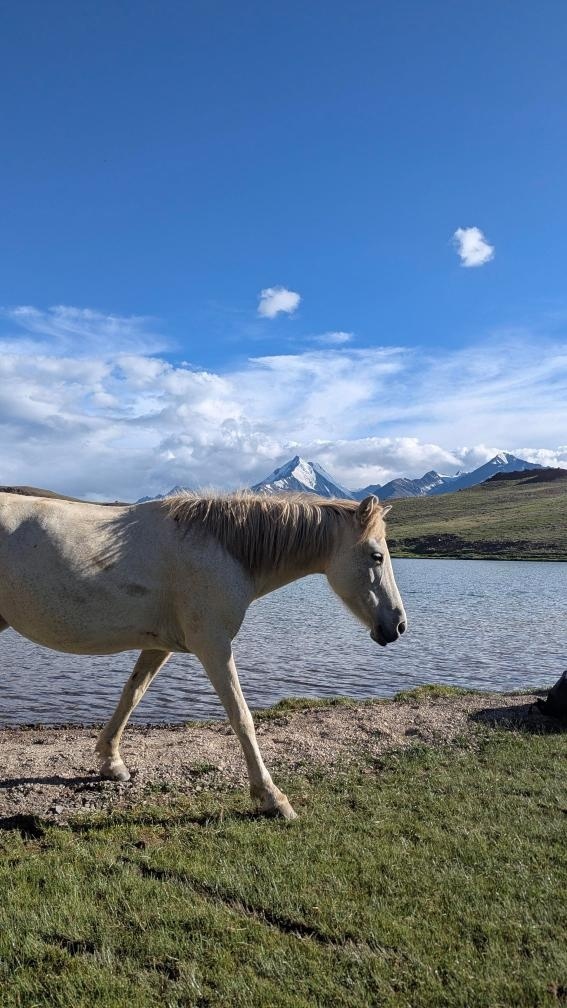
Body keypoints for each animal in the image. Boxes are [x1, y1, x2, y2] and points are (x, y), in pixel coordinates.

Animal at [0, 487, 406, 819]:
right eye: (376, 556)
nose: (399, 625)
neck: (223, 549)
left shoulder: (158, 645)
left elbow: (132, 694)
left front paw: (111, 761)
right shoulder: (213, 645)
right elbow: (241, 717)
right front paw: (272, 797)